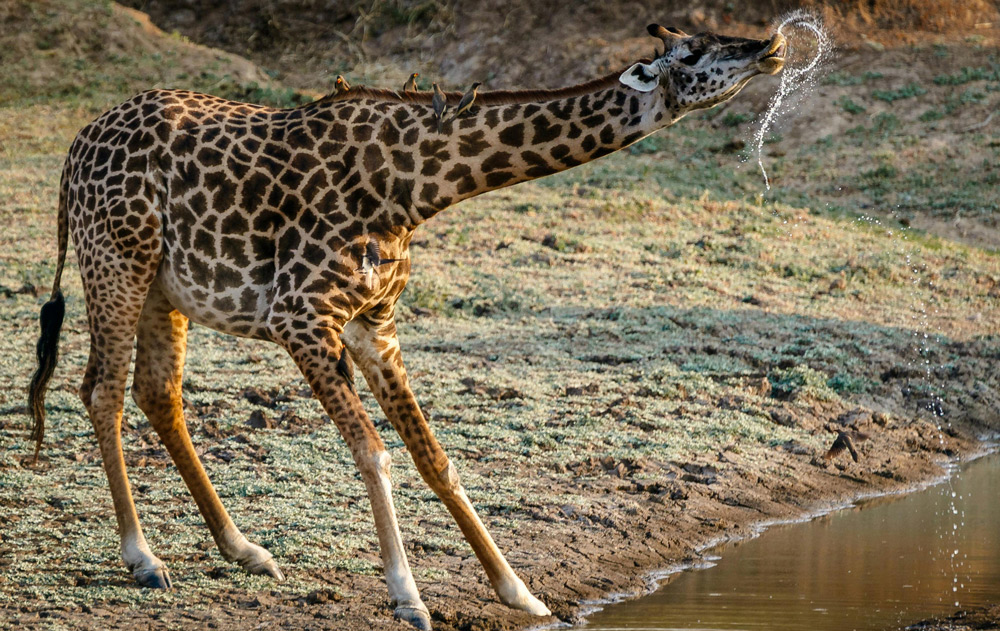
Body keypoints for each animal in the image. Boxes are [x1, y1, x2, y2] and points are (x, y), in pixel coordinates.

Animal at [27, 24, 786, 629]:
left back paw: (245, 549)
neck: (414, 186)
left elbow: (434, 456)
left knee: (157, 392)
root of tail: (73, 152)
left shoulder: (374, 321)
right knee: (102, 390)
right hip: (116, 261)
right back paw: (143, 558)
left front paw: (520, 591)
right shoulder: (301, 316)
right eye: (696, 51)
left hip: (166, 286)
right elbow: (375, 451)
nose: (772, 46)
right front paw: (409, 598)